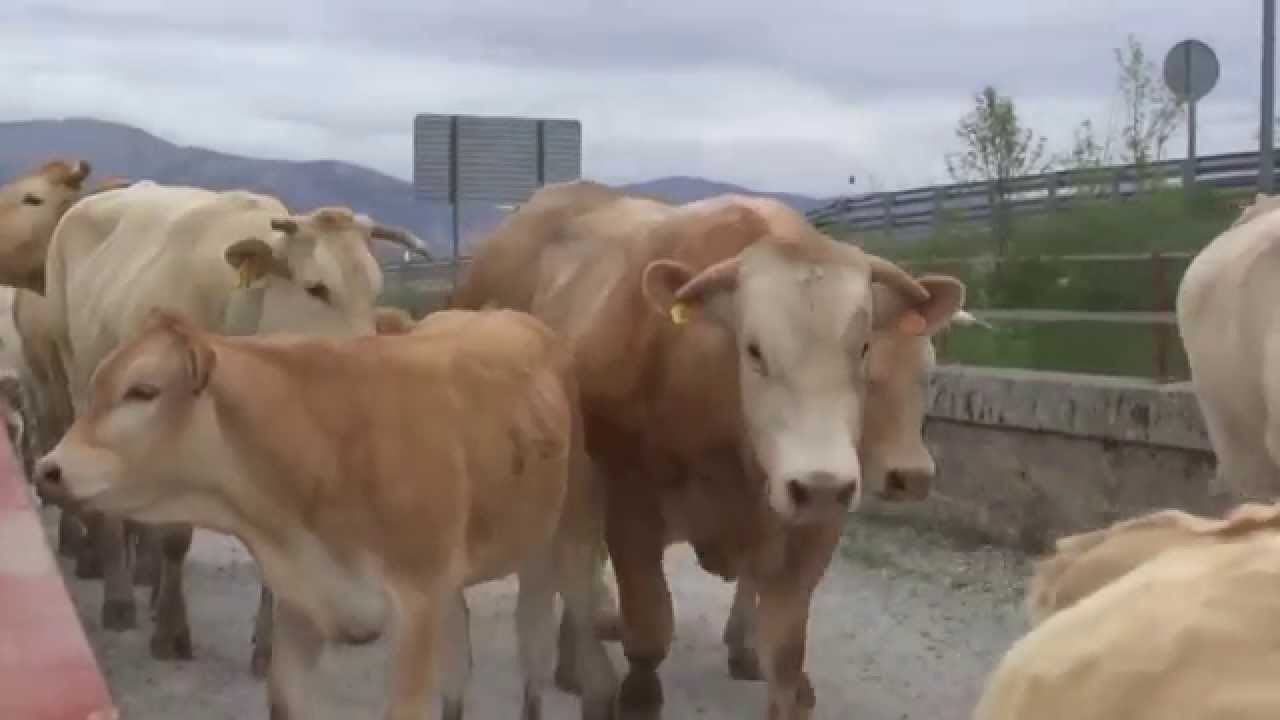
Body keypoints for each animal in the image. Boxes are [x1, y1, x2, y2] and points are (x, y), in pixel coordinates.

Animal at [34, 307, 619, 720]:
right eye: (96, 386)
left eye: (143, 390)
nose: (48, 469)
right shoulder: (300, 602)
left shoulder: (416, 607)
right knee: (461, 664)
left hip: (563, 542)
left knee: (544, 652)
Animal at [42, 180, 430, 670]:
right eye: (317, 288)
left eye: (375, 291)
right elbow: (176, 538)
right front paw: (170, 632)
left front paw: (269, 647)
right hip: (78, 379)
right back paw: (120, 601)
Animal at [451, 179, 967, 718]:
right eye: (754, 350)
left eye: (864, 347)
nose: (911, 475)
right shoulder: (629, 505)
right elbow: (649, 630)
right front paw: (636, 693)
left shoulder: (817, 526)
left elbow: (785, 655)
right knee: (570, 570)